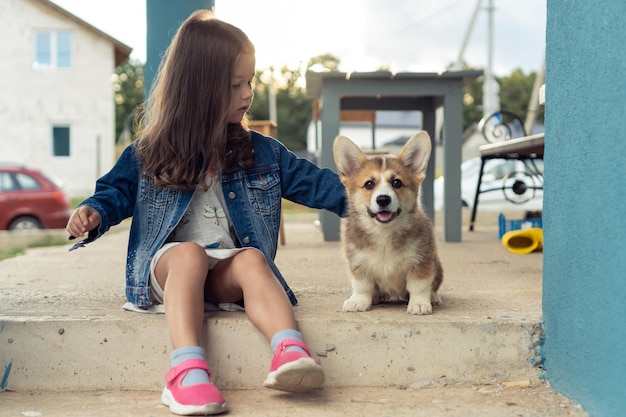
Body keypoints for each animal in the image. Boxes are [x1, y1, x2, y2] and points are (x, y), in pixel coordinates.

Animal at [332, 132, 444, 314]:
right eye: (369, 184)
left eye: (397, 182)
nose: (383, 199)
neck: (383, 231)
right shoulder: (358, 262)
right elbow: (362, 286)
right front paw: (358, 301)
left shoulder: (422, 261)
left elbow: (419, 285)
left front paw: (419, 304)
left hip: (437, 265)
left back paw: (433, 297)